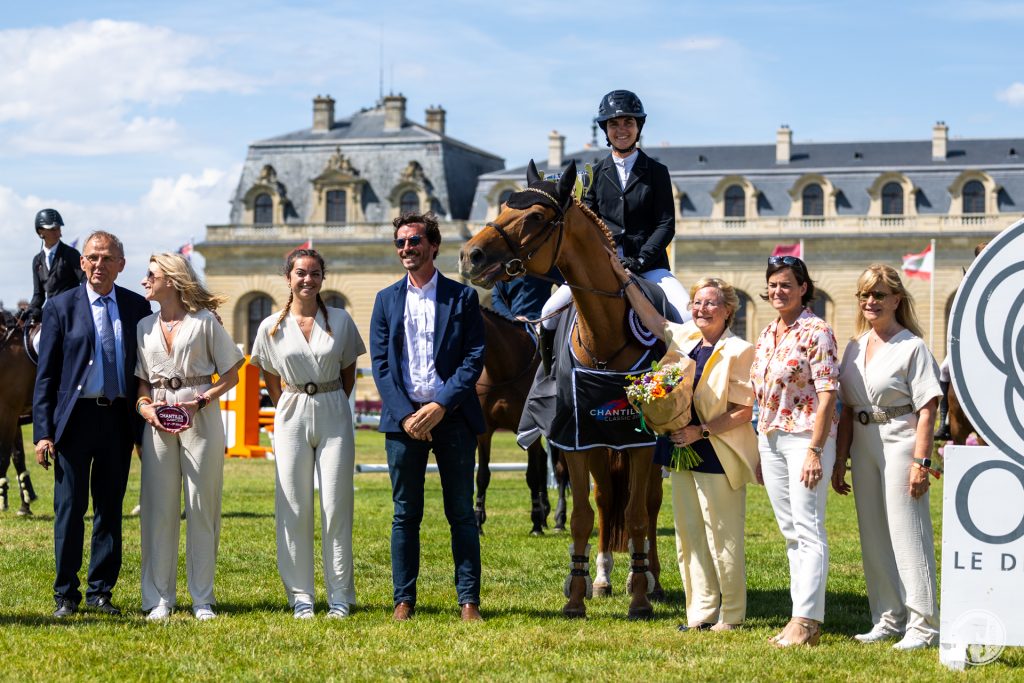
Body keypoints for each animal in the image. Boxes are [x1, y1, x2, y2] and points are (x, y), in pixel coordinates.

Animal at [477, 307, 573, 536]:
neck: (502, 371)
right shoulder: (485, 431)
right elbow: (483, 475)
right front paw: (478, 523)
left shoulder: (532, 432)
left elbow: (532, 475)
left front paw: (536, 524)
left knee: (561, 470)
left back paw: (558, 519)